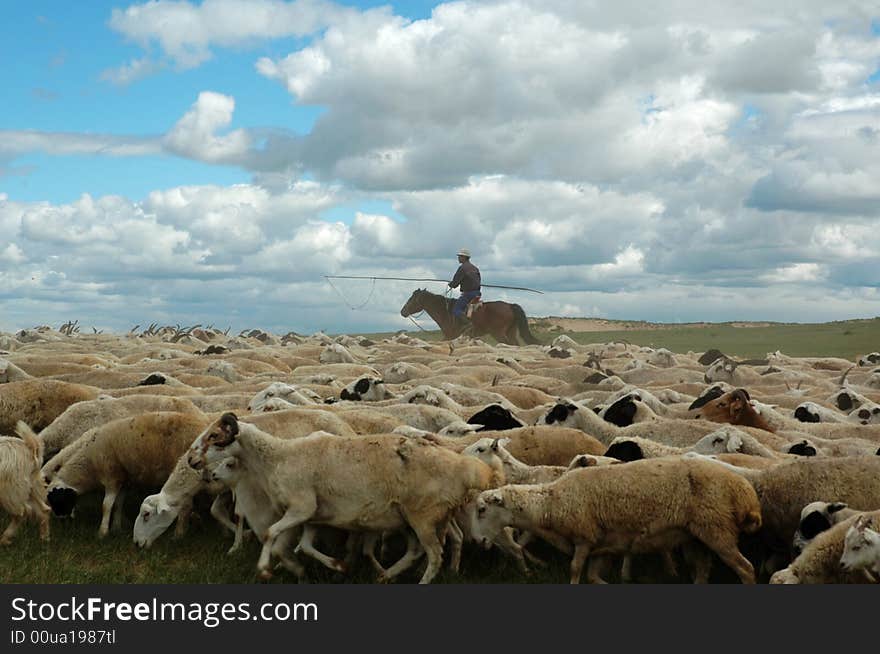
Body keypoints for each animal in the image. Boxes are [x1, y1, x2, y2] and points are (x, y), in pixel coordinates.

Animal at [400, 290, 540, 346]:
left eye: (411, 299)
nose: (403, 312)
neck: (445, 310)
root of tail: (510, 305)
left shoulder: (450, 335)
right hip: (511, 332)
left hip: (499, 333)